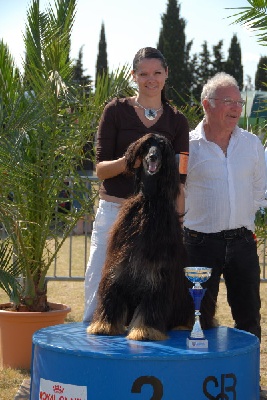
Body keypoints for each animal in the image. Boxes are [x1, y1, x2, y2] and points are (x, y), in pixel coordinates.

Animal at [87, 134, 196, 340]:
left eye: (161, 146)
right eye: (147, 145)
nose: (153, 157)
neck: (149, 201)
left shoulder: (157, 273)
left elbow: (153, 301)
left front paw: (145, 330)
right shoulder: (119, 265)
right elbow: (113, 289)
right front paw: (104, 324)